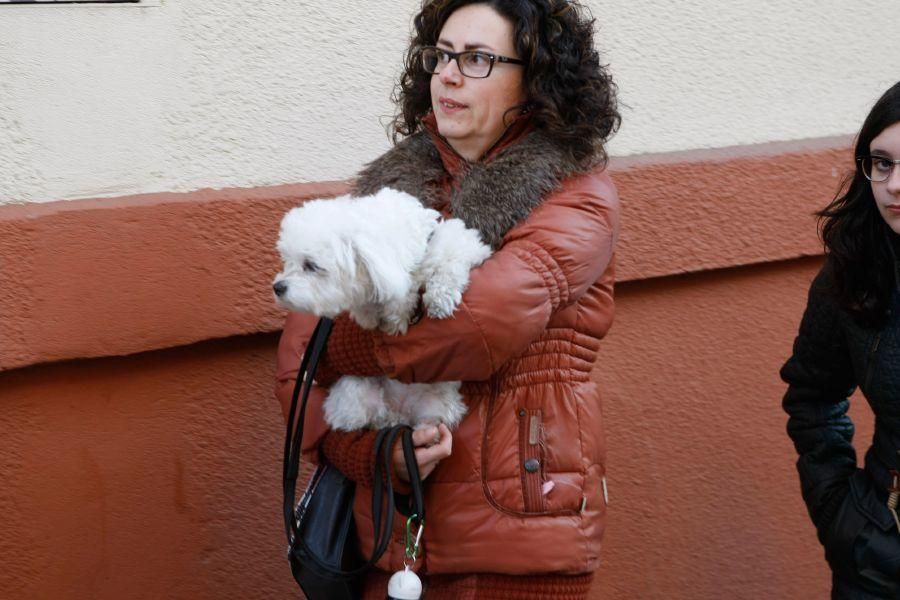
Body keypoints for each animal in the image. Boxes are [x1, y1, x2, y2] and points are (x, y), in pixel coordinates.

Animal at [272, 188, 492, 432]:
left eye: (311, 265)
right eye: (288, 261)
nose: (278, 287)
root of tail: (403, 410)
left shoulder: (459, 243)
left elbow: (449, 263)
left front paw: (439, 299)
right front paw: (388, 316)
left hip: (438, 404)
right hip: (355, 395)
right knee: (375, 416)